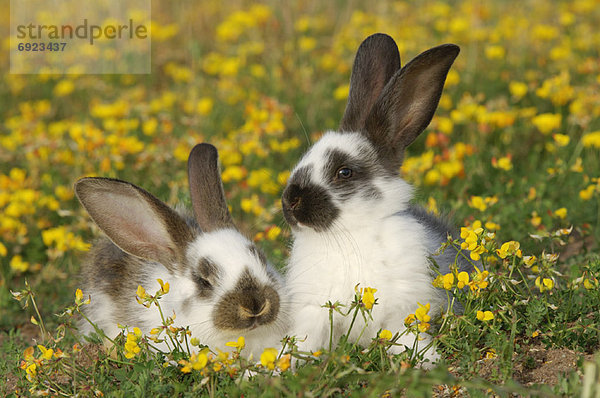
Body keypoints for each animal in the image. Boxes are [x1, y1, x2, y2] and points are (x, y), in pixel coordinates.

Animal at [282, 35, 474, 364]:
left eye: (344, 172)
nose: (290, 201)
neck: (347, 236)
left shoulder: (403, 311)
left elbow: (406, 337)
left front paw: (428, 361)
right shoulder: (314, 311)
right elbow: (304, 341)